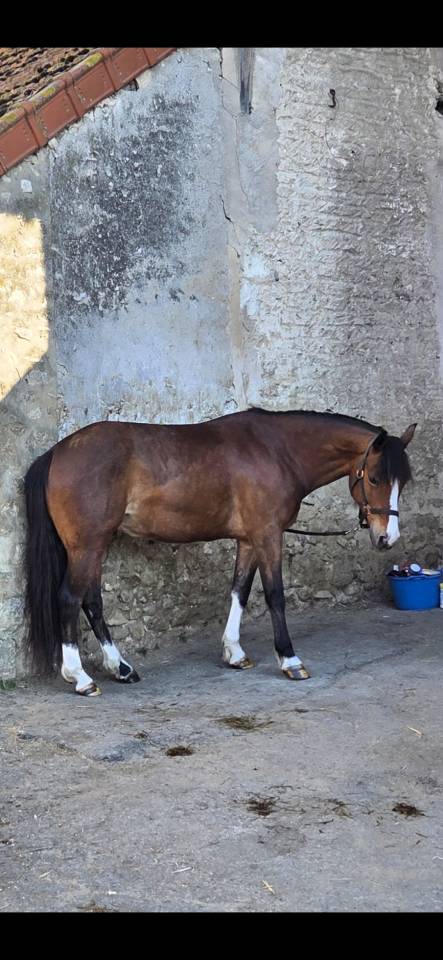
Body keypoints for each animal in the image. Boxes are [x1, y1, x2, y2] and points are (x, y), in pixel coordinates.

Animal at [23, 408, 416, 696]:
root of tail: (58, 452)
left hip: (94, 547)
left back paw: (121, 668)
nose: (387, 537)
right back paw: (80, 677)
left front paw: (234, 653)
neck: (277, 451)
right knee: (69, 599)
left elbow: (239, 591)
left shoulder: (249, 540)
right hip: (87, 546)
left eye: (404, 481)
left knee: (91, 601)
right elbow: (275, 595)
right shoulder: (268, 536)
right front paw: (289, 660)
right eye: (375, 478)